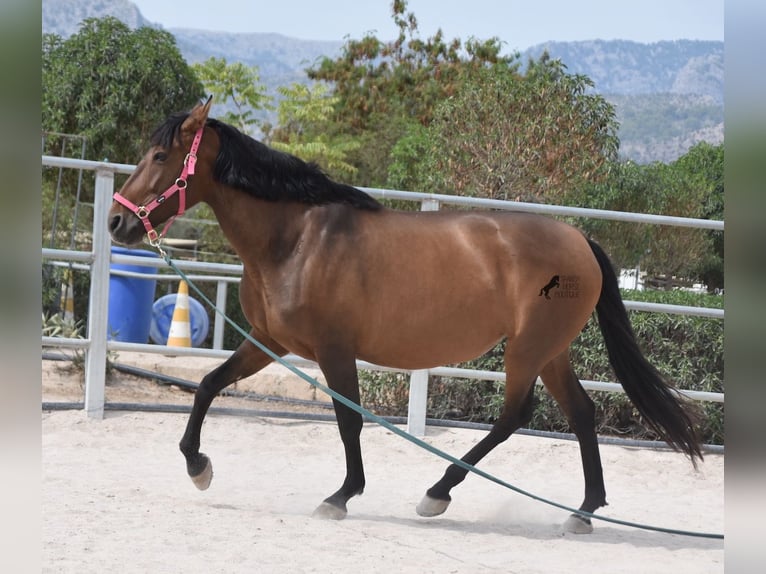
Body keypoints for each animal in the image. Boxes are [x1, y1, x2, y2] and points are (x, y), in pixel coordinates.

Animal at [108, 99, 704, 536]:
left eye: (159, 156)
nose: (117, 222)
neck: (296, 239)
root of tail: (581, 240)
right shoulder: (268, 341)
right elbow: (209, 384)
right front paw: (198, 467)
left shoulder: (333, 350)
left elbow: (348, 420)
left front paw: (341, 497)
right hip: (550, 351)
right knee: (581, 413)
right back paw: (582, 511)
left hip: (527, 349)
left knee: (515, 415)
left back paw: (437, 494)